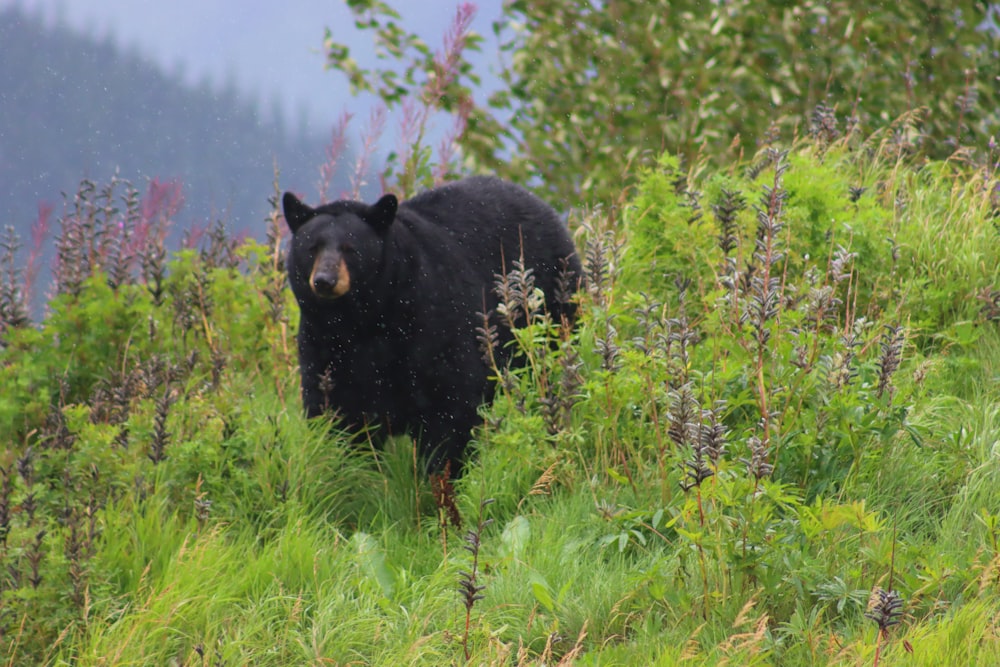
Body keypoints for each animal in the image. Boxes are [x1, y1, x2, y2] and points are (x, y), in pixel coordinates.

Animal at [282, 175, 584, 472]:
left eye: (350, 249)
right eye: (312, 248)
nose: (324, 280)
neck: (364, 322)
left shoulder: (433, 326)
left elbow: (451, 409)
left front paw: (442, 476)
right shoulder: (322, 346)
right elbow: (336, 414)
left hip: (552, 305)